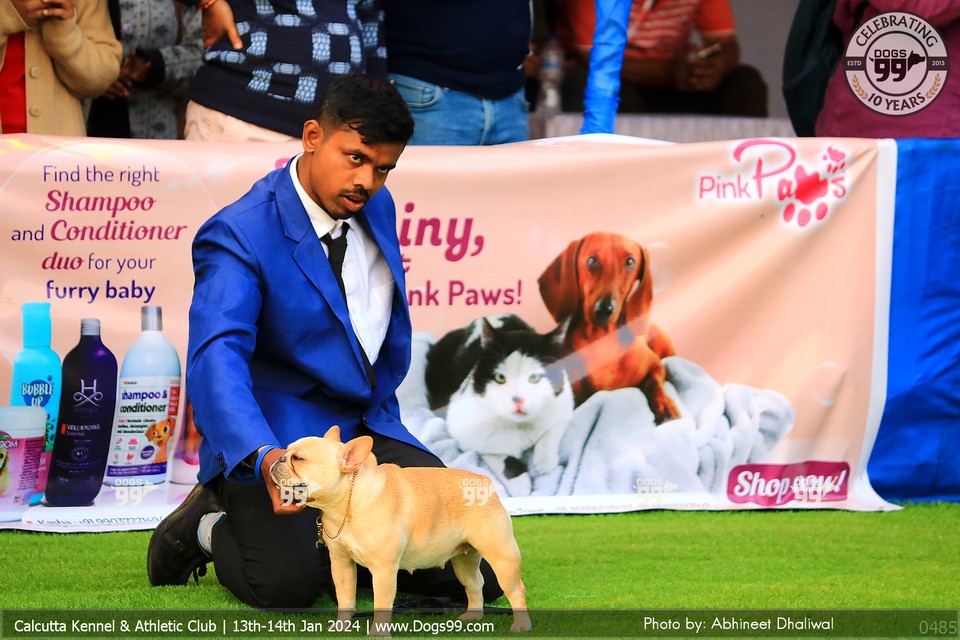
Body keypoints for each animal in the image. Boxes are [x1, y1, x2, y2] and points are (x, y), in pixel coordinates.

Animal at [270, 427, 532, 635]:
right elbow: (345, 597)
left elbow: (382, 603)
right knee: (475, 584)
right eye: (287, 453)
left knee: (516, 589)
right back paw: (473, 618)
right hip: (463, 561)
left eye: (298, 459)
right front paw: (341, 626)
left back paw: (521, 625)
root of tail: (483, 482)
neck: (348, 503)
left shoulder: (384, 570)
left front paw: (378, 633)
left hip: (501, 555)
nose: (279, 458)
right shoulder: (341, 564)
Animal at [425, 314, 573, 477]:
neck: (520, 426)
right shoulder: (472, 439)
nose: (518, 400)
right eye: (500, 378)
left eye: (534, 377)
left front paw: (545, 461)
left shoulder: (564, 403)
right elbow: (504, 463)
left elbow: (551, 431)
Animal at [538, 231, 680, 423]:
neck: (603, 339)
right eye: (591, 260)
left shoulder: (656, 365)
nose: (604, 309)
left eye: (630, 262)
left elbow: (655, 383)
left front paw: (664, 403)